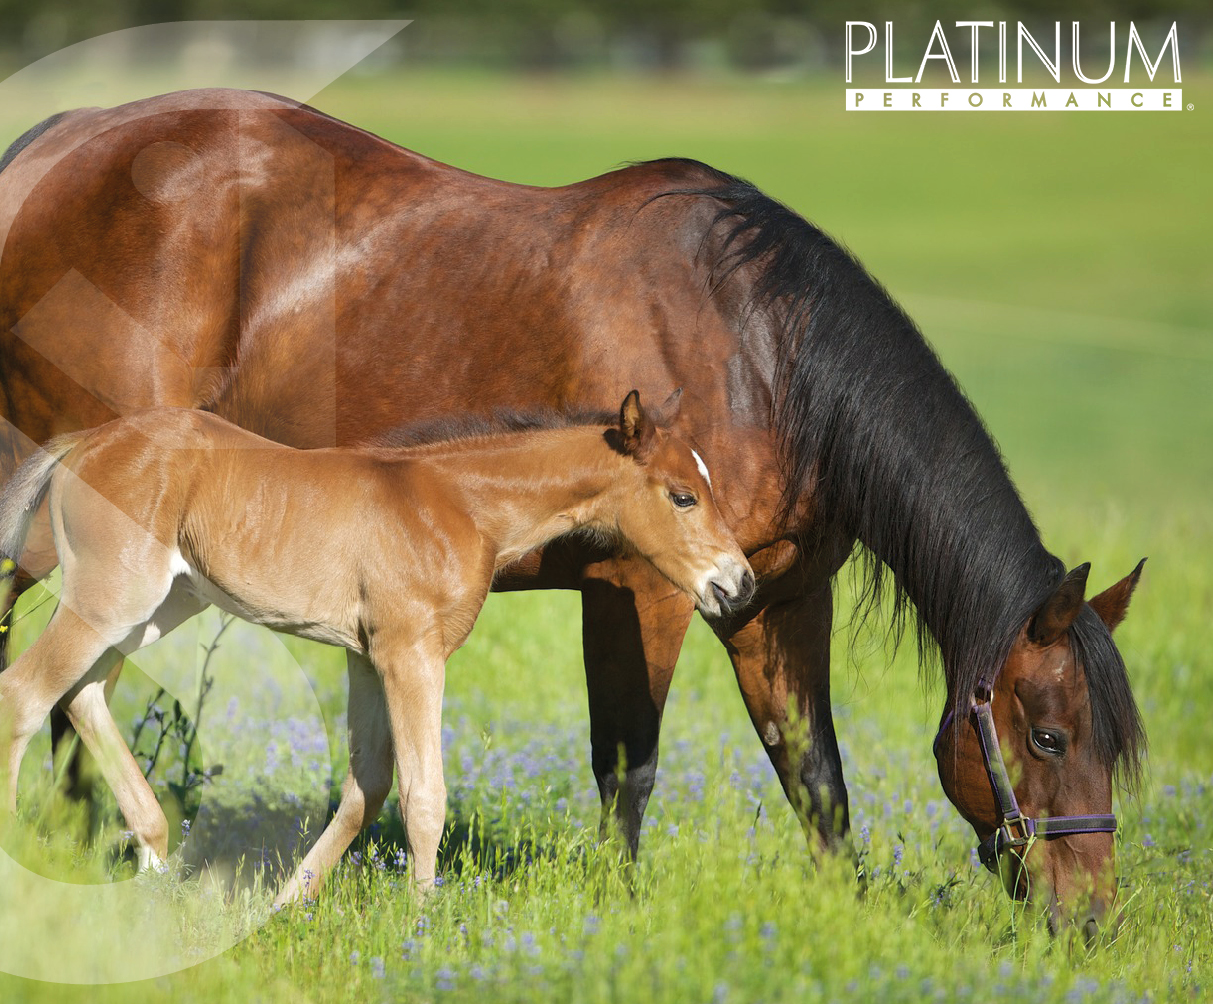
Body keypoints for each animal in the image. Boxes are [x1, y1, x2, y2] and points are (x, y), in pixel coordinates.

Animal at [0, 388, 752, 897]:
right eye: (683, 496)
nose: (737, 584)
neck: (459, 503)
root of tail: (84, 442)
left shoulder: (364, 656)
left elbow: (367, 786)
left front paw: (281, 907)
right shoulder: (410, 654)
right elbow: (424, 795)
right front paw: (421, 923)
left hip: (159, 604)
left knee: (83, 695)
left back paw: (155, 863)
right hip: (113, 596)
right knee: (26, 693)